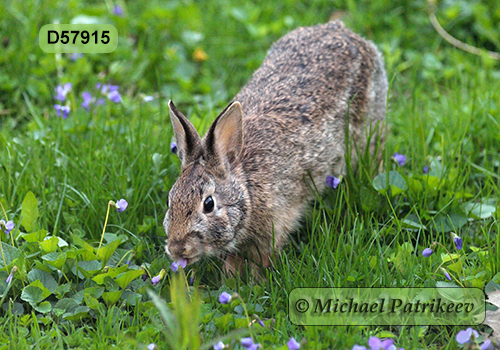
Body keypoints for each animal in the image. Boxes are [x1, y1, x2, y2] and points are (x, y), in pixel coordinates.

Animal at [163, 19, 386, 276]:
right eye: (170, 201)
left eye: (209, 204)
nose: (177, 248)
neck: (248, 190)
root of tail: (341, 29)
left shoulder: (275, 224)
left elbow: (263, 259)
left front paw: (252, 281)